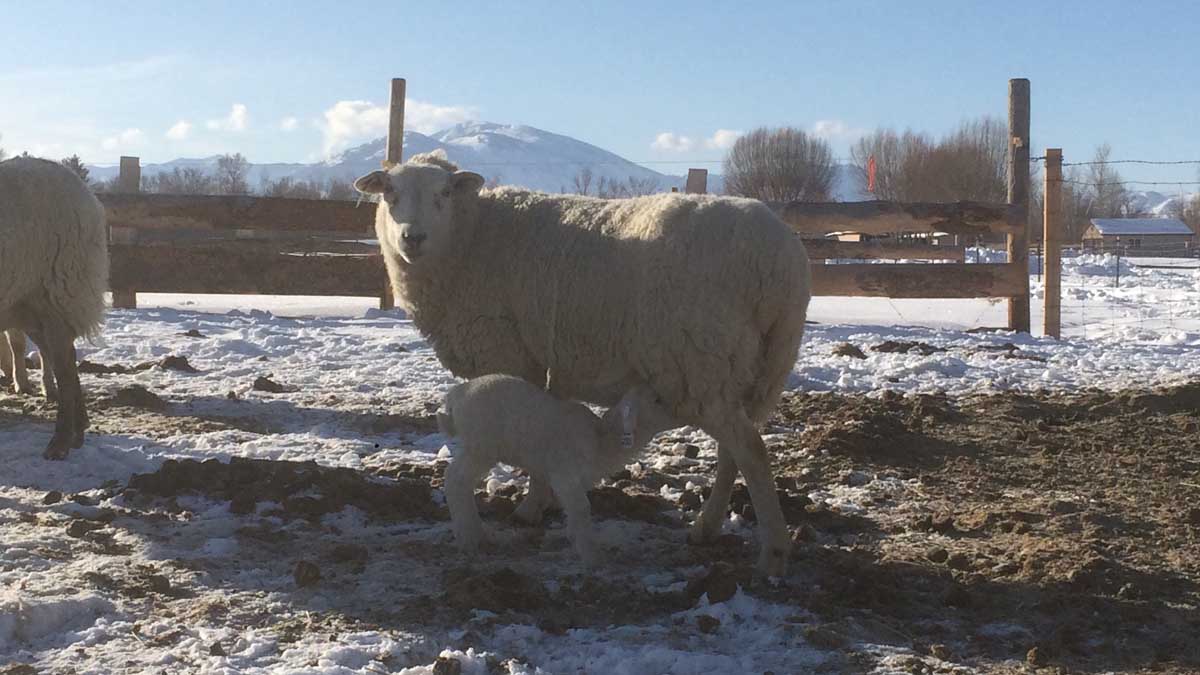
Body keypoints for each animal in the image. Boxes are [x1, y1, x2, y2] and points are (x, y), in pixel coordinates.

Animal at [0, 156, 108, 456]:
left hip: (60, 293)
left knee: (64, 365)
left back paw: (60, 442)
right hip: (30, 306)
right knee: (64, 357)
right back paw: (77, 430)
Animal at [439, 372, 686, 562]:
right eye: (656, 400)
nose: (680, 414)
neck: (601, 440)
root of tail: (455, 395)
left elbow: (574, 510)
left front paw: (577, 539)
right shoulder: (564, 474)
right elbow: (582, 509)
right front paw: (591, 555)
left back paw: (477, 533)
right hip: (481, 446)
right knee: (455, 480)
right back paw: (469, 538)